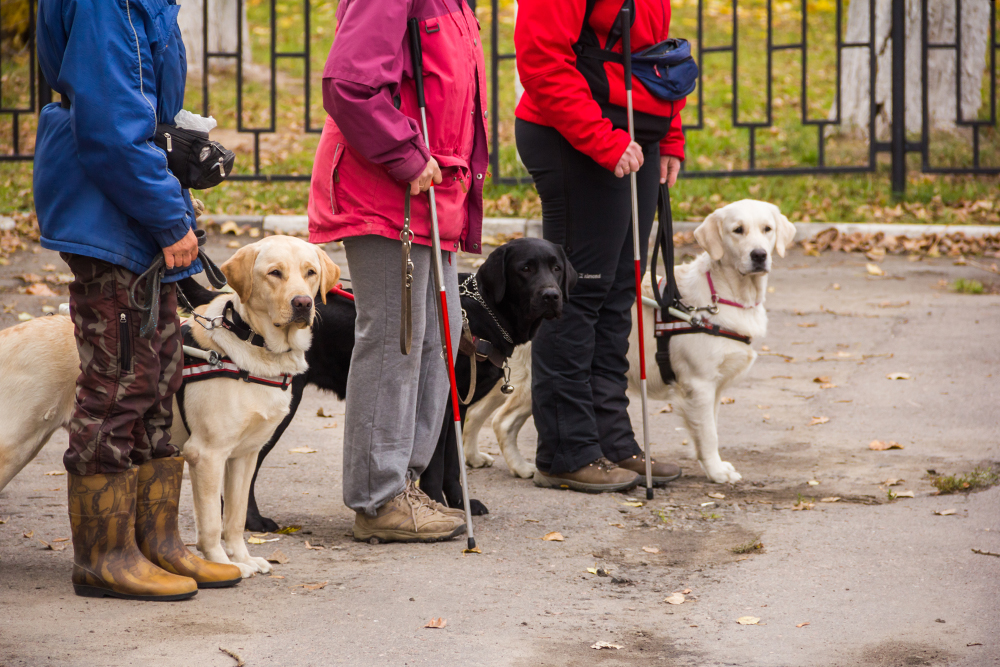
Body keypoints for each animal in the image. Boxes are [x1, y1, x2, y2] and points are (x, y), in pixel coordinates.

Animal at [0, 236, 340, 580]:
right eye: (274, 273)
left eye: (310, 273)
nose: (303, 303)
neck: (255, 343)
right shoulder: (207, 454)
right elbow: (212, 524)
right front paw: (223, 565)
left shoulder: (245, 455)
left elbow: (235, 518)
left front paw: (243, 558)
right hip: (14, 445)